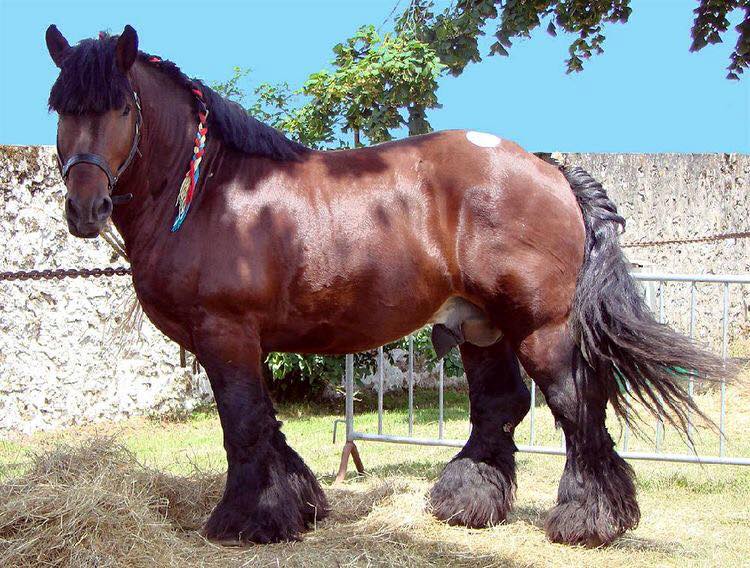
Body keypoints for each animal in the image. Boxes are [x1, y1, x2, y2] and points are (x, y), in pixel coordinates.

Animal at [45, 24, 729, 547]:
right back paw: (467, 501)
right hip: (481, 326)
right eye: (60, 109)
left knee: (576, 406)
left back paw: (588, 520)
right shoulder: (248, 342)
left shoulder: (226, 334)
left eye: (121, 108)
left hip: (541, 329)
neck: (213, 190)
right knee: (501, 406)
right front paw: (298, 505)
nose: (85, 208)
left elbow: (242, 425)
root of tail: (547, 168)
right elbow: (267, 425)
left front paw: (246, 521)